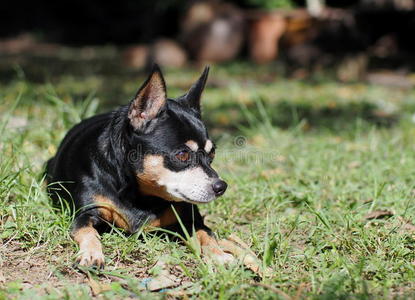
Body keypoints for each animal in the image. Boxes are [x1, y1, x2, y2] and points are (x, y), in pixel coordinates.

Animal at [46, 65, 234, 268]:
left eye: (212, 154)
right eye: (182, 155)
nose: (221, 186)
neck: (142, 196)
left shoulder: (192, 220)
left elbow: (207, 234)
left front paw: (219, 255)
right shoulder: (85, 215)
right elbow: (88, 231)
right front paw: (91, 254)